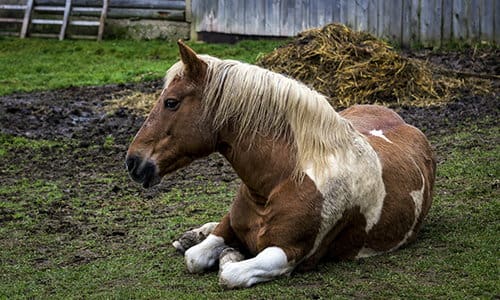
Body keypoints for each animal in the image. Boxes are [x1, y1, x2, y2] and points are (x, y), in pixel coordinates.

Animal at [127, 41, 436, 290]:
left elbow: (230, 272)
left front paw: (231, 254)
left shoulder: (286, 253)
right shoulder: (230, 226)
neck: (281, 179)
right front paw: (207, 242)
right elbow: (196, 256)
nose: (133, 161)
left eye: (171, 102)